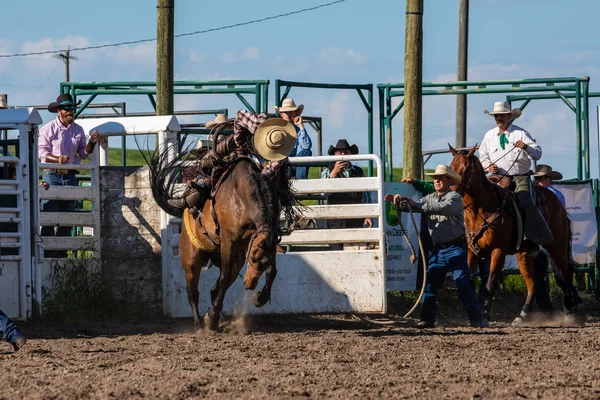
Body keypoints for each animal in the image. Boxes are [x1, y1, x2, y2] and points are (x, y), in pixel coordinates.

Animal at [450, 144, 580, 324]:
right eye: (451, 167)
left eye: (467, 168)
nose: (451, 191)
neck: (482, 208)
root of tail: (558, 203)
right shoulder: (471, 251)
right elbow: (468, 281)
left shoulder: (498, 251)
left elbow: (490, 284)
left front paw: (485, 313)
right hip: (524, 253)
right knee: (533, 283)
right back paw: (523, 315)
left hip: (557, 247)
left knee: (566, 275)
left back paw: (570, 313)